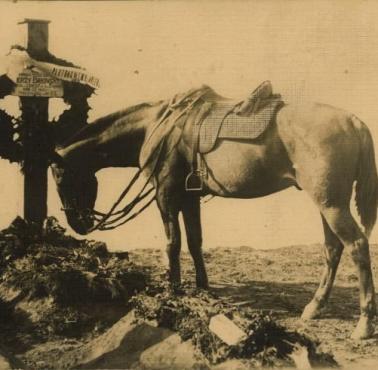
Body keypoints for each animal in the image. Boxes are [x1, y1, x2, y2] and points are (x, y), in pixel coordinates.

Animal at [51, 86, 378, 338]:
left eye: (58, 176)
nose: (78, 223)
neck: (158, 127)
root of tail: (353, 121)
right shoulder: (189, 197)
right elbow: (195, 241)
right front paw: (203, 289)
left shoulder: (166, 195)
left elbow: (172, 243)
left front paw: (173, 290)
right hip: (327, 204)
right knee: (332, 249)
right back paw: (315, 308)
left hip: (331, 205)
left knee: (357, 246)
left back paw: (364, 325)